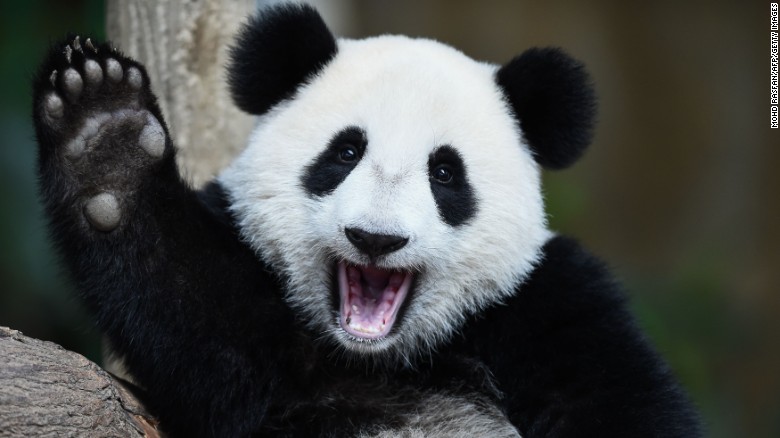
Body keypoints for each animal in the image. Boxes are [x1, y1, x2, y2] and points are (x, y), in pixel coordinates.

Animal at [32, 3, 700, 438]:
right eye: (346, 152)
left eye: (445, 174)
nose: (376, 239)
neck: (380, 356)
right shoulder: (272, 355)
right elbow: (203, 320)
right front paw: (106, 136)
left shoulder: (549, 305)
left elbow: (619, 403)